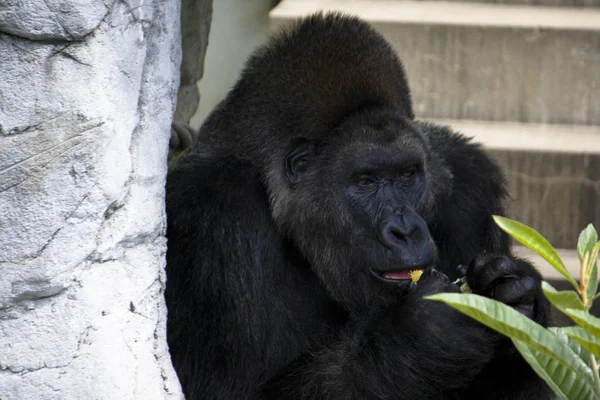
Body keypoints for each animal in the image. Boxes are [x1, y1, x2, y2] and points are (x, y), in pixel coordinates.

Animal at [165, 12, 552, 400]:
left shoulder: (470, 180)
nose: (405, 231)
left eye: (408, 175)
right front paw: (422, 336)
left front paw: (518, 295)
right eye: (365, 182)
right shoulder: (212, 218)